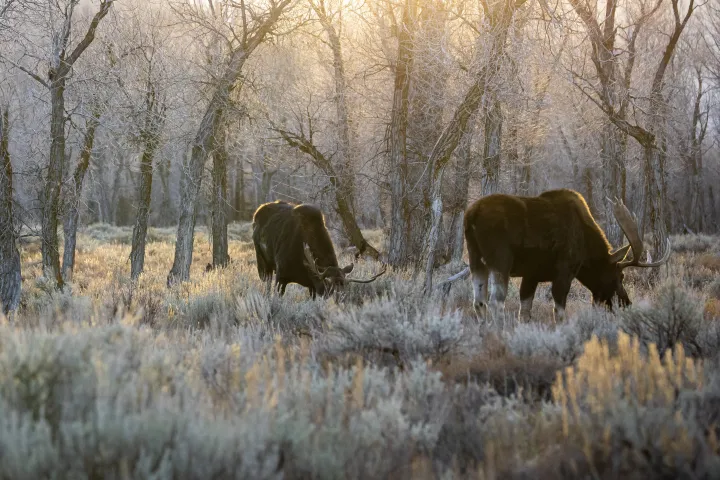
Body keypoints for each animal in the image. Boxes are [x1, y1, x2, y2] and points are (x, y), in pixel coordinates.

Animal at [252, 200, 386, 298]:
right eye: (330, 288)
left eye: (346, 288)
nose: (342, 301)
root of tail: (256, 214)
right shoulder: (281, 274)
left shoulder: (312, 284)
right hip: (263, 262)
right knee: (267, 282)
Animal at [461, 189, 670, 323]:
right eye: (621, 276)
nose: (626, 302)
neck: (587, 251)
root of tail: (471, 215)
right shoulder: (564, 272)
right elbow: (559, 313)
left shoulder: (531, 275)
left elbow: (525, 311)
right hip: (500, 260)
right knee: (496, 302)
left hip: (475, 259)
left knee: (479, 301)